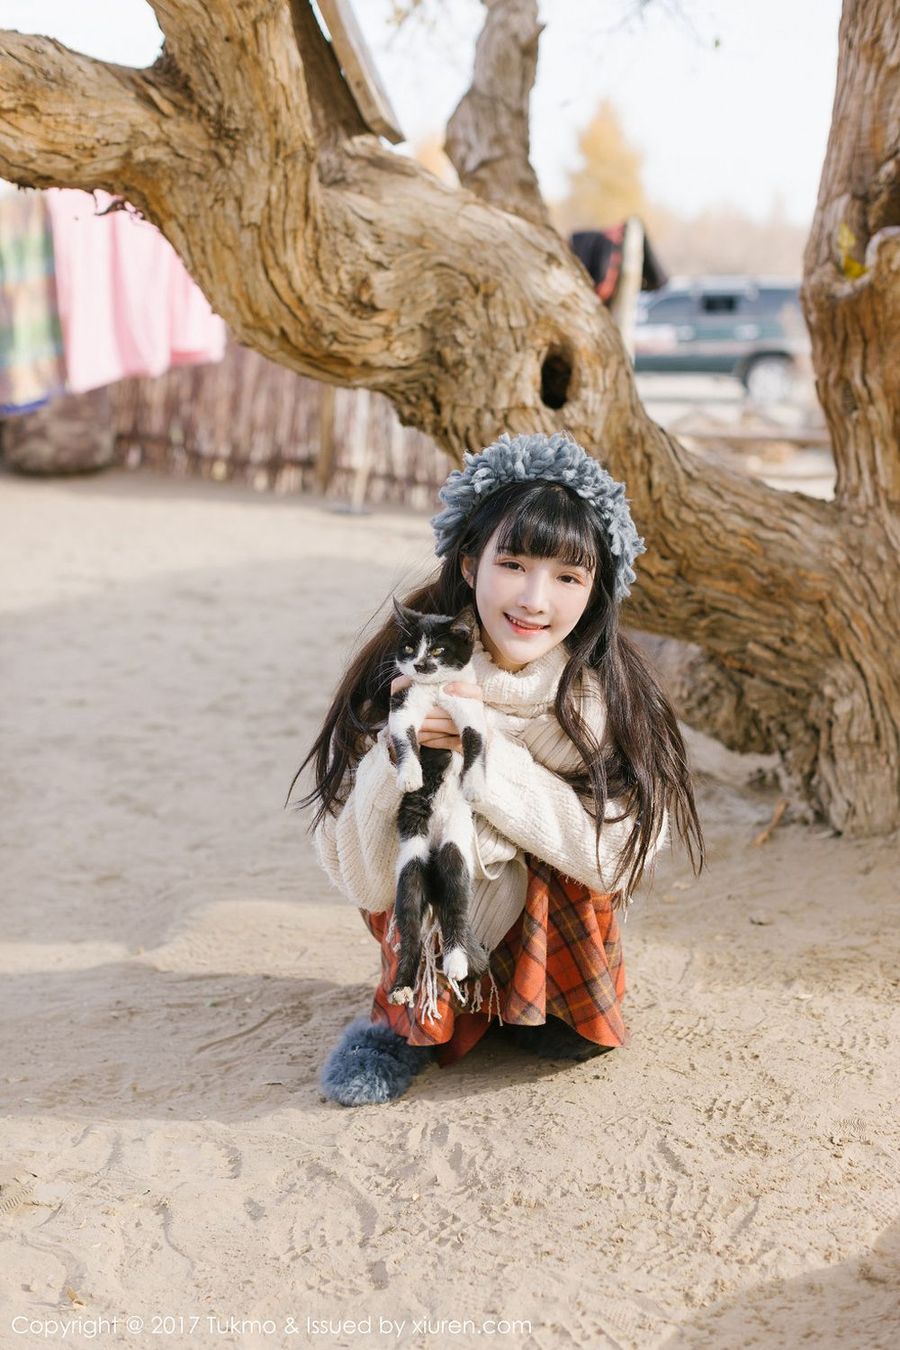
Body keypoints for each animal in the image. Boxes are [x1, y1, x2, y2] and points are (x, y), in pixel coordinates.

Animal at [383, 599, 488, 1004]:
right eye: (410, 648)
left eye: (440, 650)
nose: (419, 664)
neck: (436, 692)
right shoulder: (403, 704)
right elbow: (404, 740)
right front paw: (410, 775)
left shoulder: (471, 707)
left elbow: (475, 743)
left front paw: (473, 784)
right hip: (410, 859)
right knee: (411, 923)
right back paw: (402, 985)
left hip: (457, 844)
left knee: (456, 900)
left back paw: (457, 960)